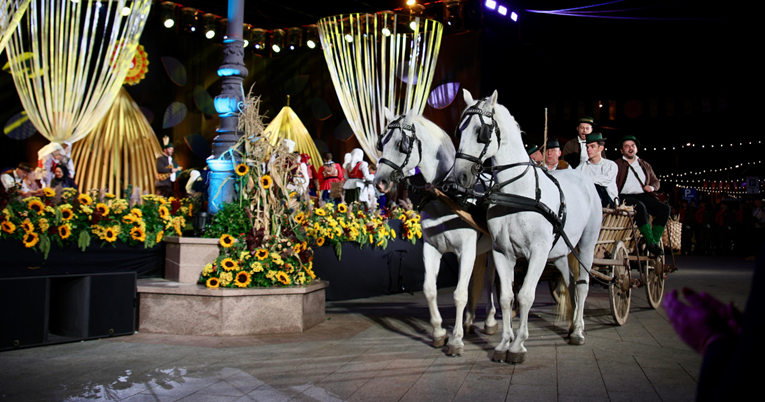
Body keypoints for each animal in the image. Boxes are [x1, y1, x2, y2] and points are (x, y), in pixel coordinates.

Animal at [374, 107, 496, 354]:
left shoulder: (466, 251)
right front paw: (439, 333)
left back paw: (489, 321)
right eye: (382, 142)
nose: (379, 181)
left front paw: (456, 340)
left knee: (491, 280)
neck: (447, 197)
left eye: (401, 143)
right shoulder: (432, 249)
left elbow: (459, 294)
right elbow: (430, 289)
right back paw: (469, 321)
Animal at [450, 88, 600, 364]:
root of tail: (582, 177)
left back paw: (578, 332)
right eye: (459, 130)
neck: (517, 192)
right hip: (560, 252)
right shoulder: (502, 252)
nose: (460, 177)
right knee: (571, 283)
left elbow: (526, 295)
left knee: (583, 285)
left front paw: (518, 345)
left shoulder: (538, 252)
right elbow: (507, 297)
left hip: (586, 244)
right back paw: (574, 326)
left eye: (481, 131)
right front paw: (503, 345)